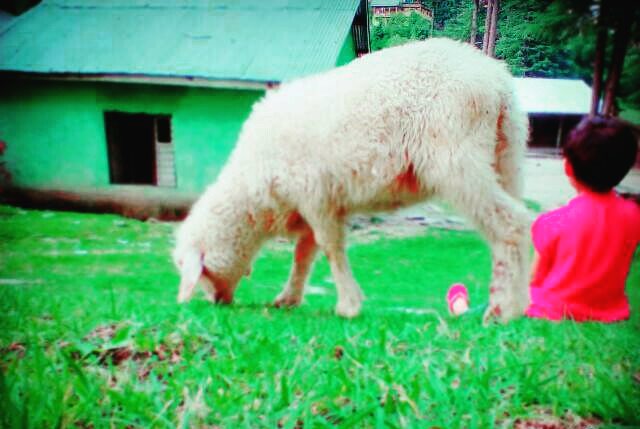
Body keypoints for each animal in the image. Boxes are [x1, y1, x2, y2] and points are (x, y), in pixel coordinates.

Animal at [173, 37, 531, 322]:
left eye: (201, 272)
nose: (216, 302)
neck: (252, 184)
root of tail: (496, 79)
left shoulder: (315, 196)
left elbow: (330, 249)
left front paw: (347, 305)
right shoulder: (312, 204)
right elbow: (304, 254)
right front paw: (288, 298)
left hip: (457, 157)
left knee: (511, 223)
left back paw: (501, 310)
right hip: (506, 154)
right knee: (515, 224)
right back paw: (518, 303)